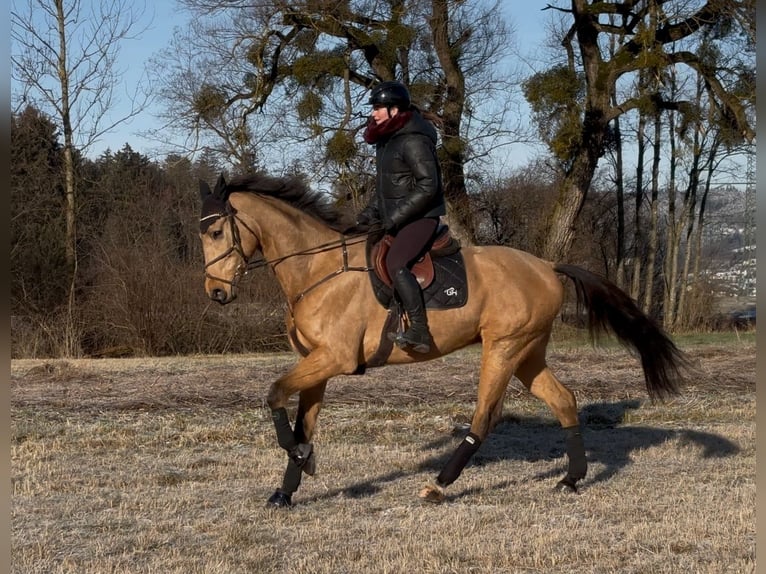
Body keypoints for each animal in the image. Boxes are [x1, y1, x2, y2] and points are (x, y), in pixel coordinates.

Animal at [200, 172, 688, 508]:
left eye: (217, 232)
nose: (216, 293)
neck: (318, 271)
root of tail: (546, 266)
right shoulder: (316, 364)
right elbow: (300, 418)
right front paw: (288, 486)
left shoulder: (334, 359)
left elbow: (273, 394)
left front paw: (302, 459)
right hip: (528, 352)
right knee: (564, 401)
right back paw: (571, 478)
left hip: (503, 348)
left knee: (484, 418)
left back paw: (438, 485)